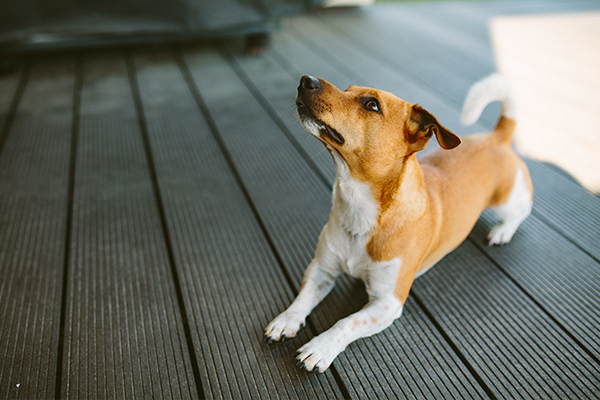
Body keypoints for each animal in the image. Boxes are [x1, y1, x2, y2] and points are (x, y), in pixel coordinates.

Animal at [264, 75, 532, 376]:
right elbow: (303, 298)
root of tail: (497, 136)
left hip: (506, 200)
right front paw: (286, 320)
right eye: (347, 90)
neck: (359, 209)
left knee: (523, 209)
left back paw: (503, 231)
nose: (305, 80)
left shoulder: (387, 302)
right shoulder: (322, 269)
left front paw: (320, 347)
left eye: (372, 105)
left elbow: (347, 322)